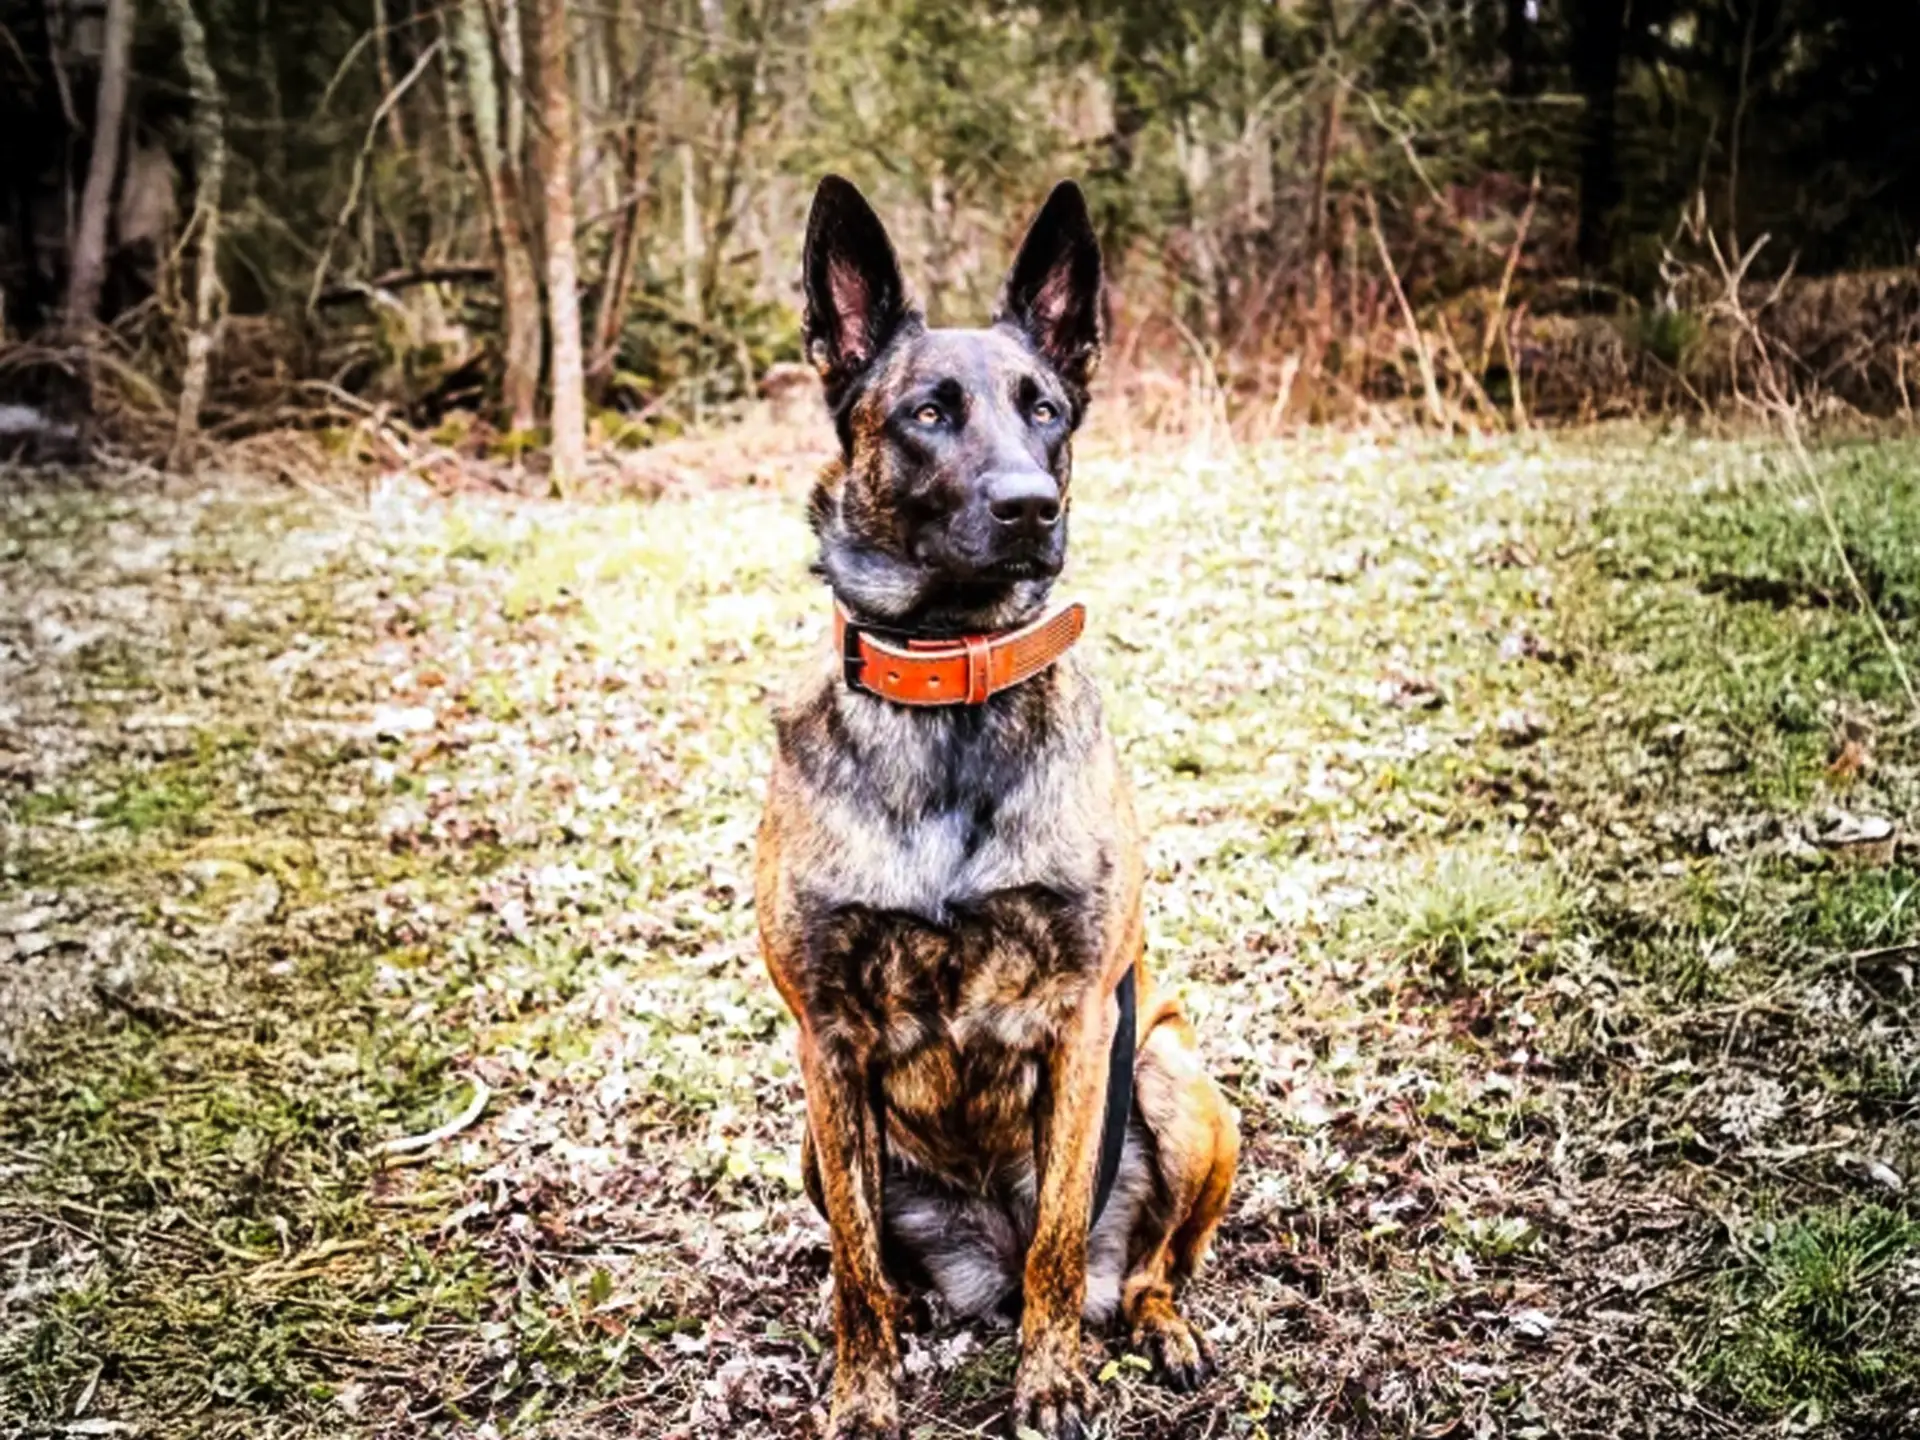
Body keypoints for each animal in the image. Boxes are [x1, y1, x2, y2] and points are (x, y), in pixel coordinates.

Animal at [756, 177, 1236, 1440]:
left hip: (1174, 1075)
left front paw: (1052, 1381)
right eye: (929, 412)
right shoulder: (825, 1040)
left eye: (1049, 410)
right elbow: (854, 1267)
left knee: (1147, 1263)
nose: (1030, 504)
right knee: (883, 1257)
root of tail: (984, 1260)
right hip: (816, 1140)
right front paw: (863, 1394)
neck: (953, 685)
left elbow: (1062, 1240)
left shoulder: (1084, 1022)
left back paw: (1157, 1327)